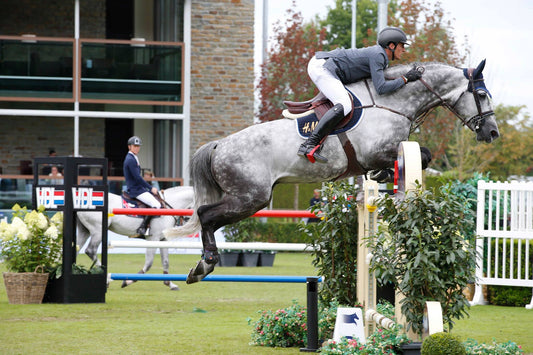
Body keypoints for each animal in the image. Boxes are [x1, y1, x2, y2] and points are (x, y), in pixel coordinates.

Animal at [165, 60, 498, 284]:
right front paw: (384, 178)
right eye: (482, 94)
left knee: (208, 217)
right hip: (251, 197)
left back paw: (201, 266)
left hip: (247, 197)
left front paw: (381, 177)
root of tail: (218, 145)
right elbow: (423, 156)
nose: (492, 133)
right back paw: (204, 266)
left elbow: (417, 159)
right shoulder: (375, 151)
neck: (392, 102)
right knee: (206, 215)